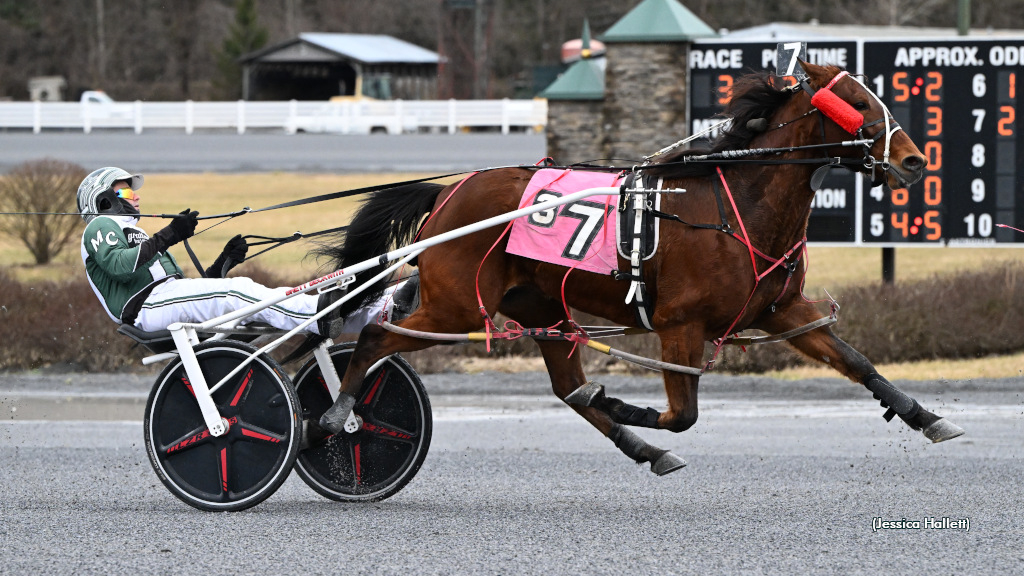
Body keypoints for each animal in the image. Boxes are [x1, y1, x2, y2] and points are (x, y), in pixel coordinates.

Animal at [315, 62, 962, 473]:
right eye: (856, 104)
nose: (913, 160)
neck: (736, 204)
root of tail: (449, 194)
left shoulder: (779, 310)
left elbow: (857, 362)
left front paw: (928, 417)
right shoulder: (681, 324)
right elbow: (683, 414)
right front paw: (629, 405)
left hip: (541, 305)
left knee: (569, 390)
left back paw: (641, 448)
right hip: (455, 307)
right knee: (375, 336)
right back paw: (338, 414)